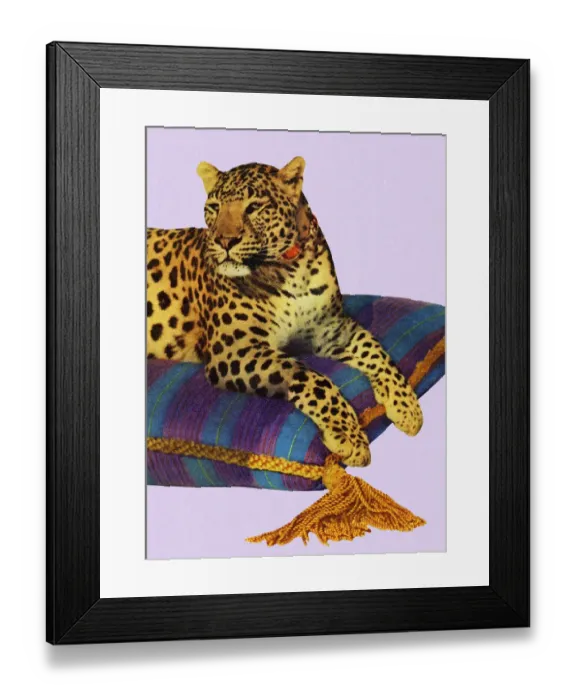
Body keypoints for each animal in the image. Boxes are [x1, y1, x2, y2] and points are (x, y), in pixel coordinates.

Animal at [146, 157, 423, 466]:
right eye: (214, 207)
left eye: (254, 206)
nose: (224, 241)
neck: (293, 271)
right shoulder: (235, 349)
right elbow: (311, 377)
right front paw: (349, 437)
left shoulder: (333, 330)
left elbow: (375, 350)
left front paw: (407, 407)